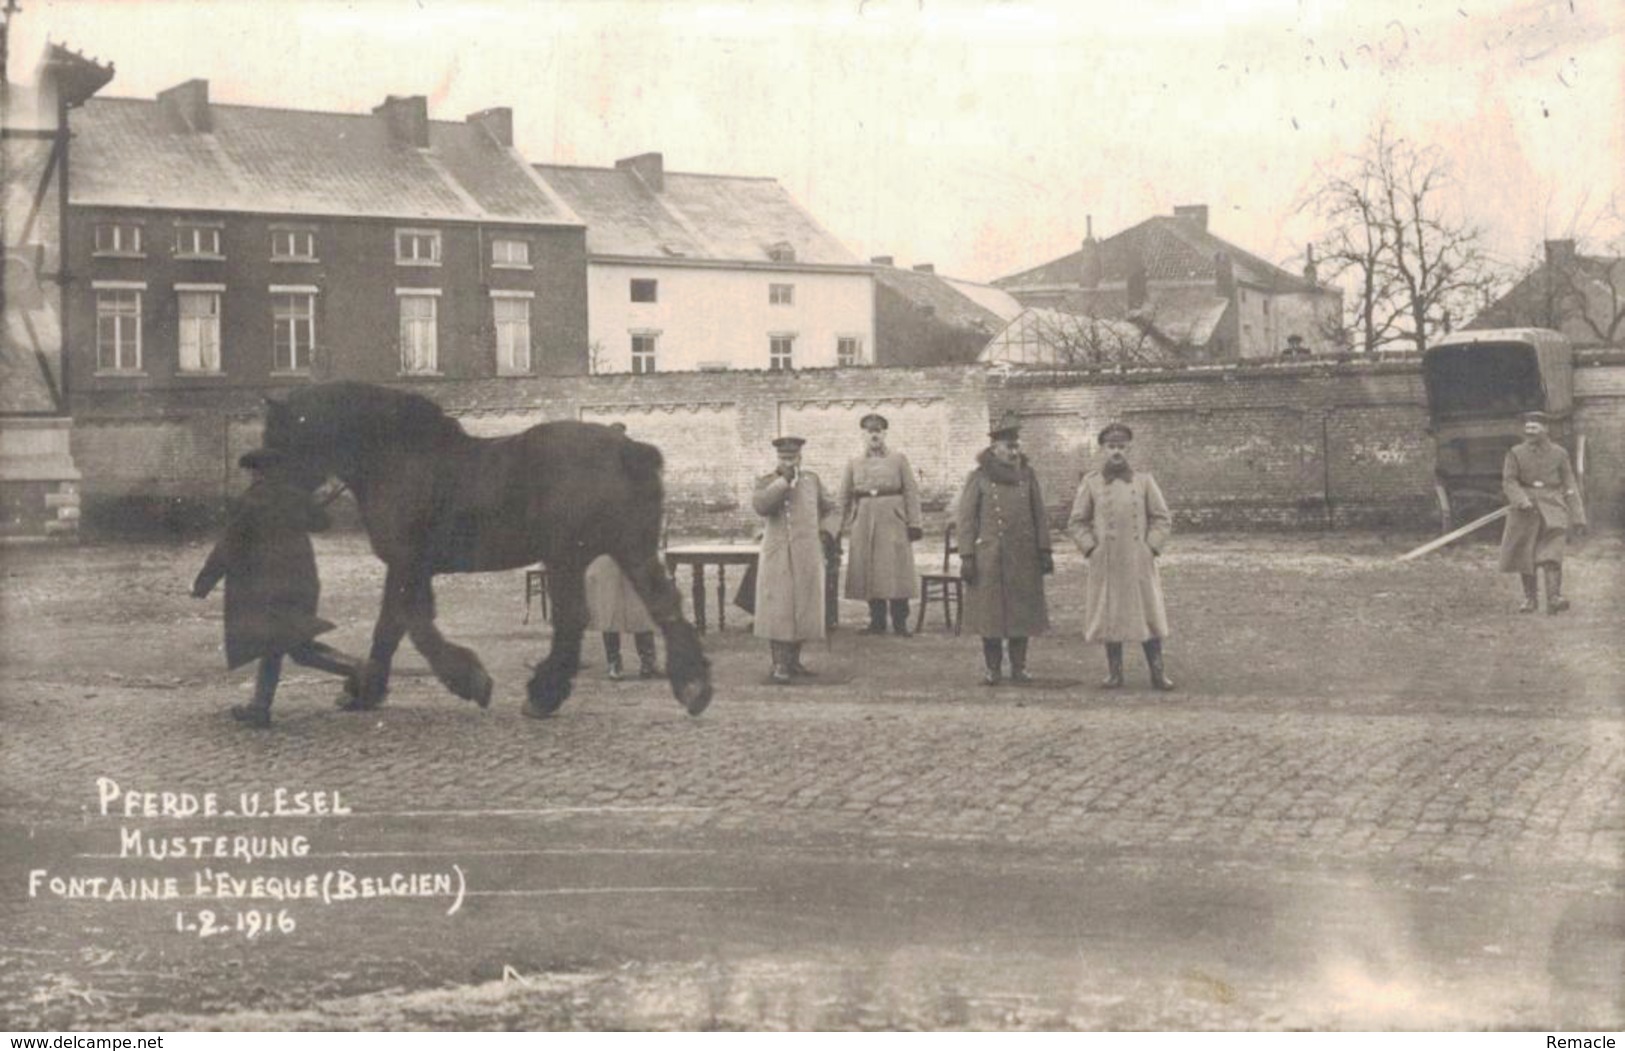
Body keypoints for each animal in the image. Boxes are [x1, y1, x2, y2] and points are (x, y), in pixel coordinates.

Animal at [261, 381, 711, 717]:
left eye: (278, 441)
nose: (269, 504)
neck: (398, 457)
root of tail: (630, 449)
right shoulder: (406, 566)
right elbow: (391, 627)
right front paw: (364, 691)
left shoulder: (408, 562)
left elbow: (412, 625)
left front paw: (468, 680)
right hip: (628, 550)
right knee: (664, 605)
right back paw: (693, 685)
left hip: (568, 557)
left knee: (572, 619)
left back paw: (544, 694)